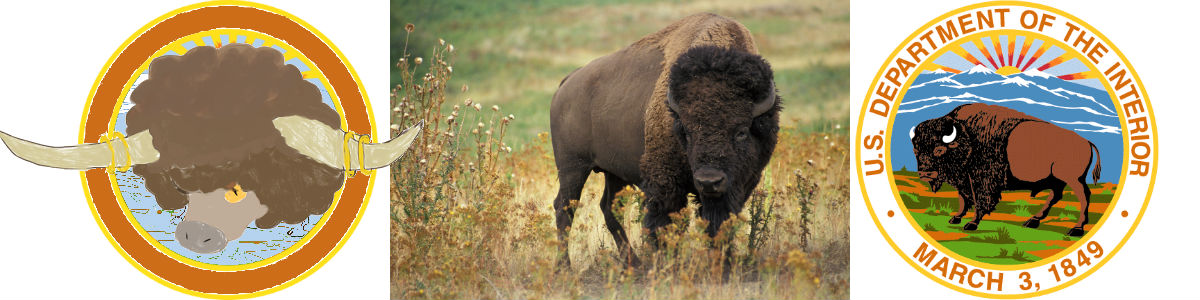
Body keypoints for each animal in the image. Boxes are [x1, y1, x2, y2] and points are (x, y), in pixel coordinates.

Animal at [549, 13, 782, 267]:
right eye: (687, 132)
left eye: (741, 131)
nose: (709, 181)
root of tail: (567, 82)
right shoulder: (665, 183)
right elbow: (665, 224)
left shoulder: (739, 185)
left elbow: (719, 223)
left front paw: (722, 262)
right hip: (573, 167)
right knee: (565, 208)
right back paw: (565, 266)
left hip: (614, 172)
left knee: (609, 207)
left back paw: (634, 263)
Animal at [912, 103, 1099, 236]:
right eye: (916, 150)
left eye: (939, 149)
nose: (925, 174)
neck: (967, 137)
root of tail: (1087, 142)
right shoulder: (964, 179)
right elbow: (963, 199)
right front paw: (955, 218)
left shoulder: (982, 182)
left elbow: (980, 201)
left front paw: (971, 224)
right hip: (1056, 179)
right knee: (1055, 196)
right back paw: (1032, 221)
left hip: (1073, 179)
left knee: (1084, 196)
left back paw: (1076, 229)